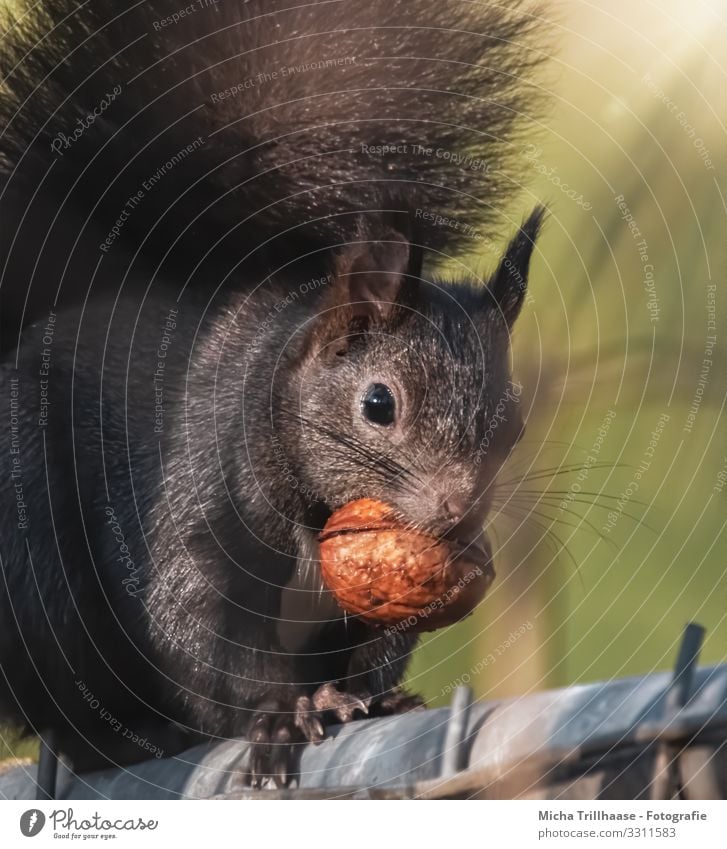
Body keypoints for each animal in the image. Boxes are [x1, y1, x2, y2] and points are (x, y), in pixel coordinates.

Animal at [0, 0, 544, 784]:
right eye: (377, 404)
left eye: (515, 424)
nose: (457, 512)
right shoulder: (195, 506)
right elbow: (193, 626)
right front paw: (281, 714)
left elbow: (378, 647)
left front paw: (371, 699)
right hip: (29, 550)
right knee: (63, 704)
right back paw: (124, 738)